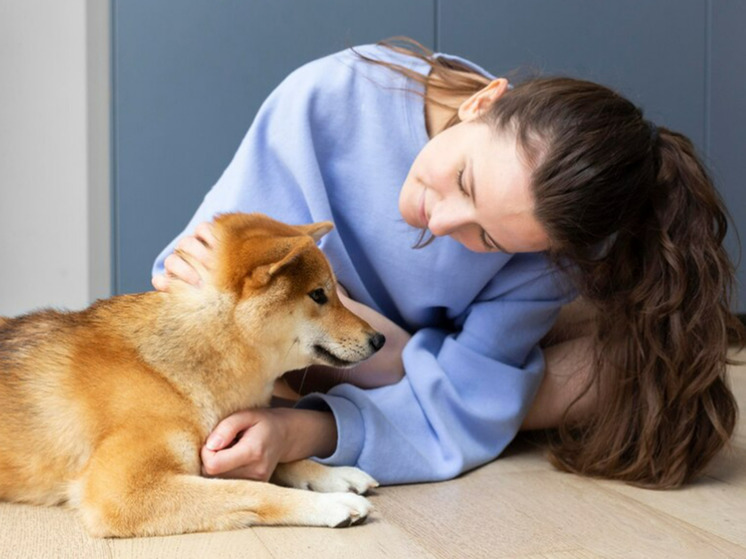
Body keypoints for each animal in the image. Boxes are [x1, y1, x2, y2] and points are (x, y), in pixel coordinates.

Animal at [0, 213, 384, 540]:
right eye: (319, 295)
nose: (380, 339)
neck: (173, 369)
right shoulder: (120, 492)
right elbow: (252, 488)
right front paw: (327, 503)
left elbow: (281, 460)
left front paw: (332, 474)